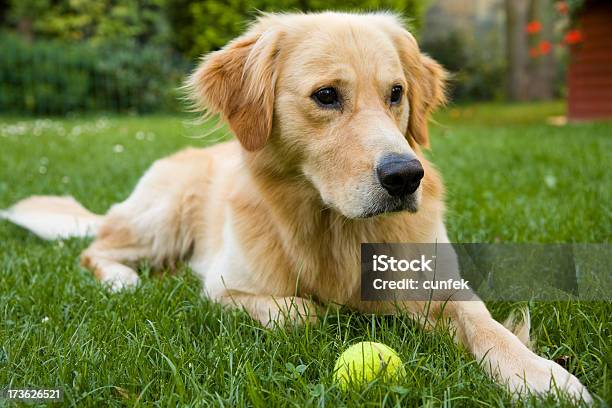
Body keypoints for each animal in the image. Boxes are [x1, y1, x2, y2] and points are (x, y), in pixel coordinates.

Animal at [2, 11, 592, 402]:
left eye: (396, 93)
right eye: (327, 95)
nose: (406, 177)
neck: (337, 231)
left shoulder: (438, 285)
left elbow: (486, 324)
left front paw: (542, 376)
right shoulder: (225, 288)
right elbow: (303, 312)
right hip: (161, 217)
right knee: (96, 249)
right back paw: (123, 279)